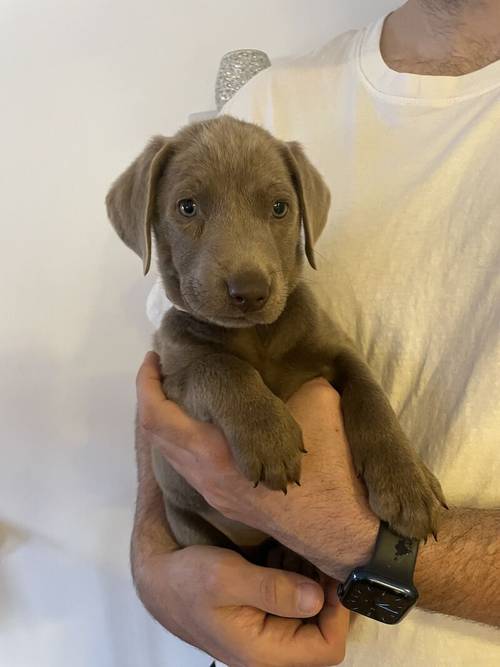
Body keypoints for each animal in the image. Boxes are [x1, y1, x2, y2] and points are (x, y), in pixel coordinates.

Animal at [106, 116, 446, 552]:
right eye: (187, 206)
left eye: (280, 207)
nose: (249, 291)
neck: (257, 336)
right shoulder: (174, 375)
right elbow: (220, 366)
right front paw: (268, 434)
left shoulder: (339, 348)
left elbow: (372, 397)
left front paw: (408, 481)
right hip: (189, 526)